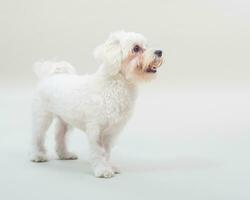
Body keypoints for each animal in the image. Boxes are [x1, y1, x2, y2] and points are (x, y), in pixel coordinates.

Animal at [30, 30, 164, 178]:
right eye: (136, 48)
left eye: (147, 45)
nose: (159, 51)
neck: (115, 85)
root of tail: (51, 75)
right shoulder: (96, 130)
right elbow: (98, 151)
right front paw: (102, 170)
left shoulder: (112, 132)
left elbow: (107, 152)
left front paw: (110, 166)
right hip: (42, 116)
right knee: (38, 136)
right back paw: (38, 155)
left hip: (65, 120)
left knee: (60, 137)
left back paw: (64, 154)